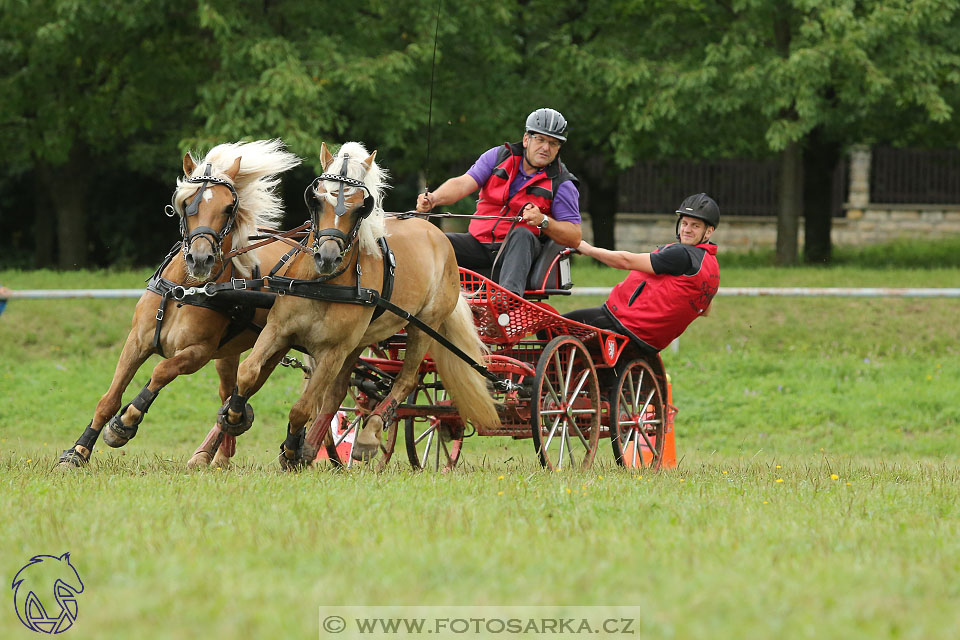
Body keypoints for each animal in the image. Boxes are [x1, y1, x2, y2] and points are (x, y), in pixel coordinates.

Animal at [57, 141, 300, 470]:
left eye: (228, 208)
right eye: (186, 204)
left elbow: (160, 372)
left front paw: (125, 424)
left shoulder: (197, 353)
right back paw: (218, 455)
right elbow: (110, 397)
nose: (200, 259)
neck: (184, 290)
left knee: (245, 391)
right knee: (228, 393)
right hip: (228, 353)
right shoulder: (137, 342)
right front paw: (79, 451)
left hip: (272, 347)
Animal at [219, 142, 502, 468]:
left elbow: (303, 406)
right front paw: (234, 416)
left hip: (423, 327)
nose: (327, 257)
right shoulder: (278, 330)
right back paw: (314, 445)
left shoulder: (333, 351)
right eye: (317, 199)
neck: (323, 285)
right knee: (339, 392)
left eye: (360, 207)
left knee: (406, 380)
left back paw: (367, 436)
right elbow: (248, 371)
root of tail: (438, 236)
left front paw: (291, 451)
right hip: (360, 341)